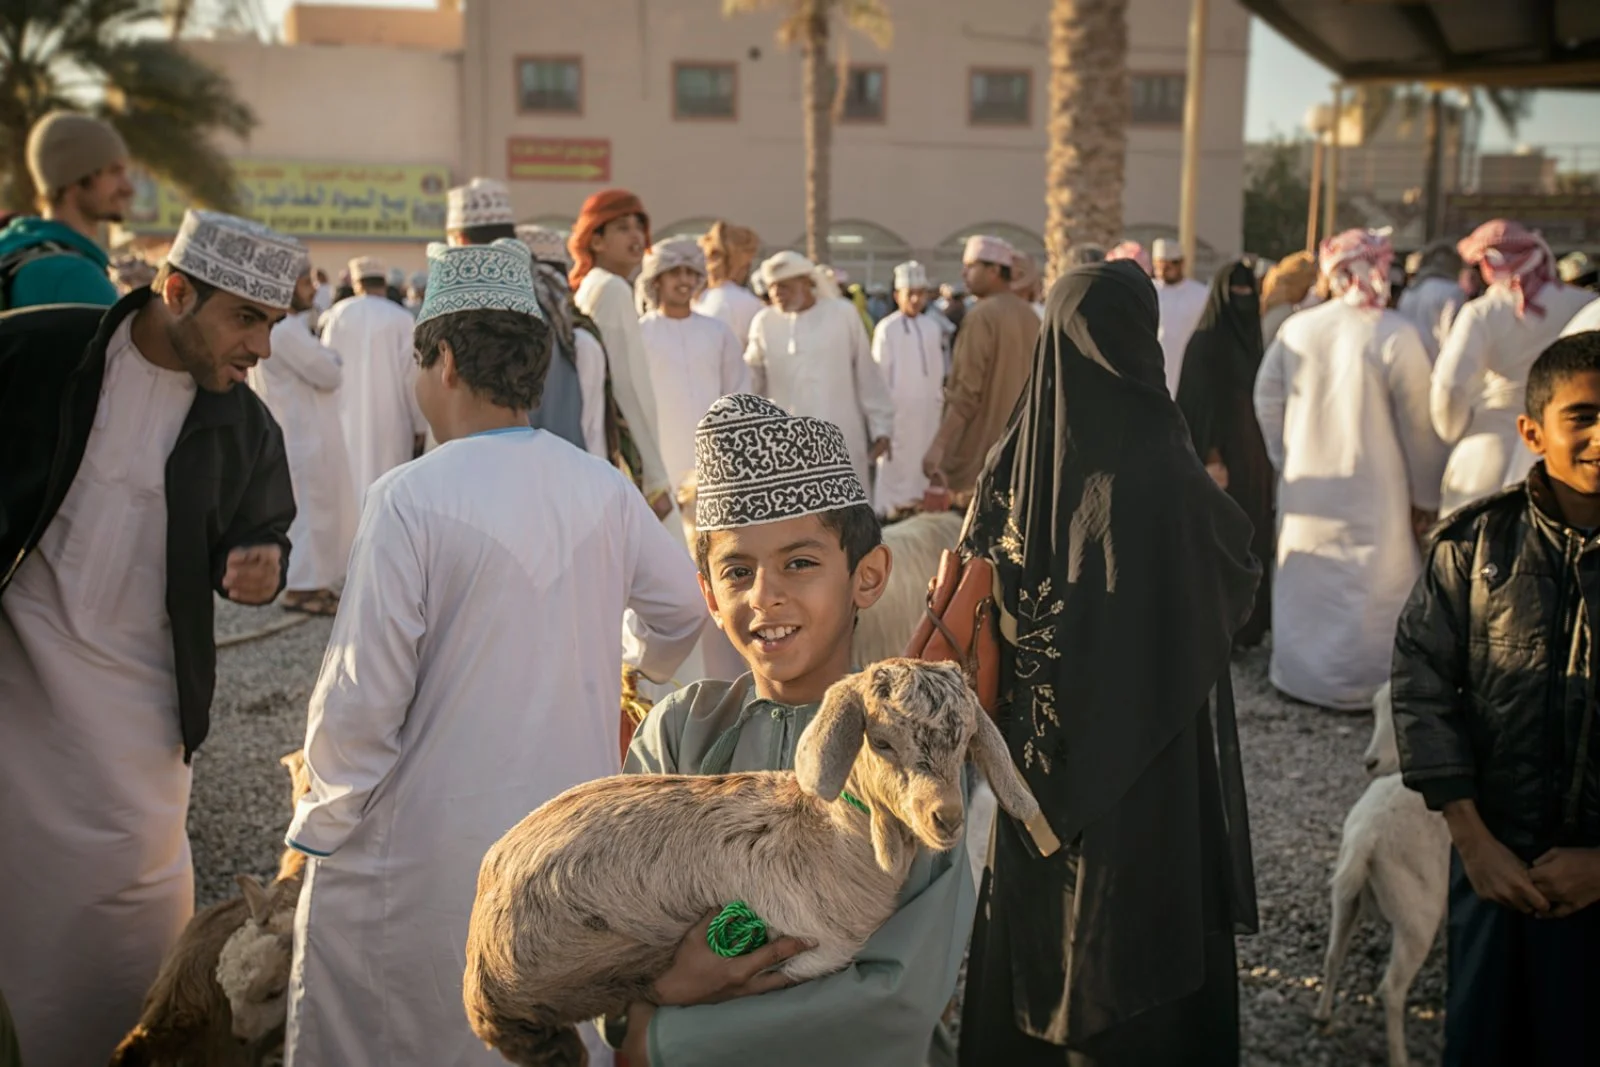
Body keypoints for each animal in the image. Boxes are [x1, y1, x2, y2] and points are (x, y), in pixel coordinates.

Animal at [1312, 684, 1452, 1067]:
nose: (1370, 762)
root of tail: (1367, 835)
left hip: (1345, 897)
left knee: (1333, 955)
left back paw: (1323, 1016)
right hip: (1417, 915)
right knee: (1391, 989)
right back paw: (1400, 1056)